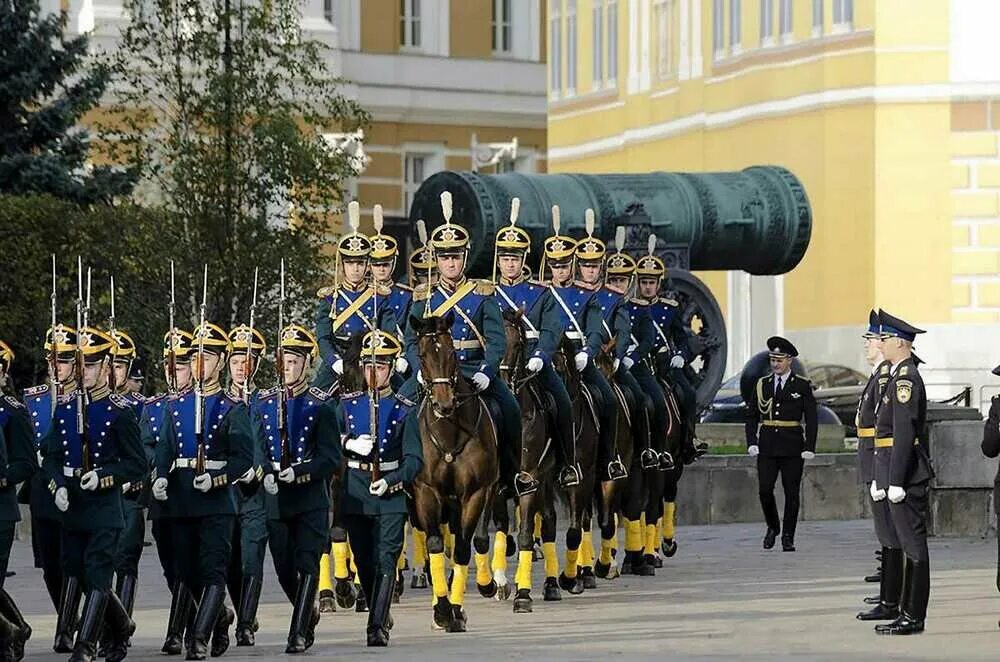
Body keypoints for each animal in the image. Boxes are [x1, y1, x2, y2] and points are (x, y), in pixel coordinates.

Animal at [408, 314, 498, 636]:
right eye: (422, 355)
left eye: (451, 353)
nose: (444, 405)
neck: (448, 435)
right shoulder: (426, 492)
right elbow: (435, 544)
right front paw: (442, 610)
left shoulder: (475, 493)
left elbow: (461, 548)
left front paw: (456, 610)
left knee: (474, 538)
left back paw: (486, 584)